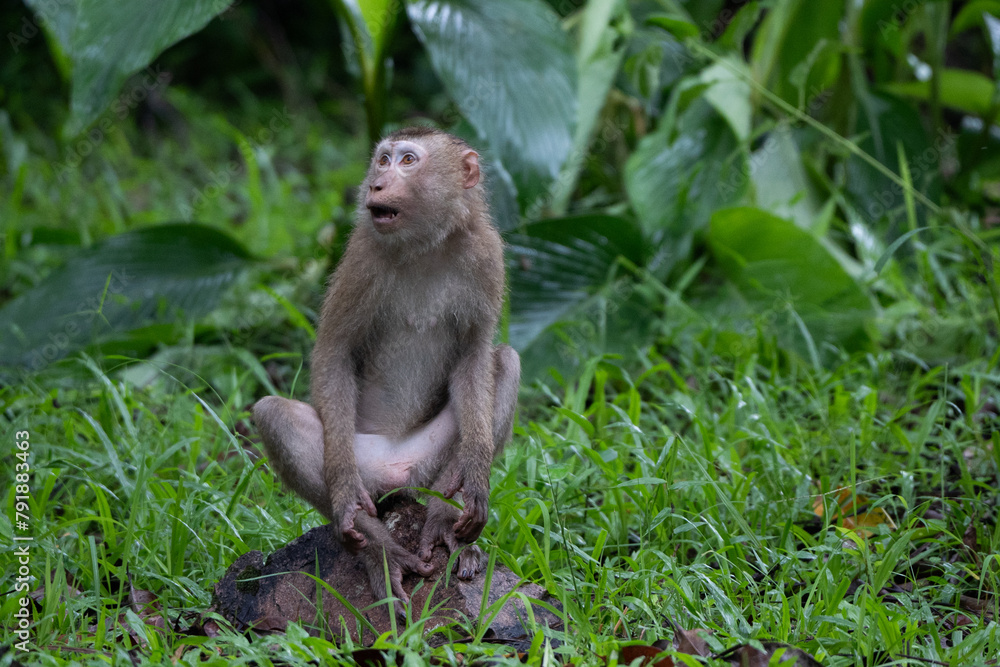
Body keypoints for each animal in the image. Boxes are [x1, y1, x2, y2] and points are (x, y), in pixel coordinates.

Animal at [252, 126, 520, 613]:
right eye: (382, 160)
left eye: (408, 160)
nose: (376, 185)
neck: (426, 245)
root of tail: (398, 479)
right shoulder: (362, 256)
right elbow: (335, 353)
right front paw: (344, 496)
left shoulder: (486, 253)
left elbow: (475, 357)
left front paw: (474, 477)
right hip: (368, 471)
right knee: (273, 414)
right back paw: (379, 549)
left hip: (425, 469)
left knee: (506, 361)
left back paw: (444, 521)